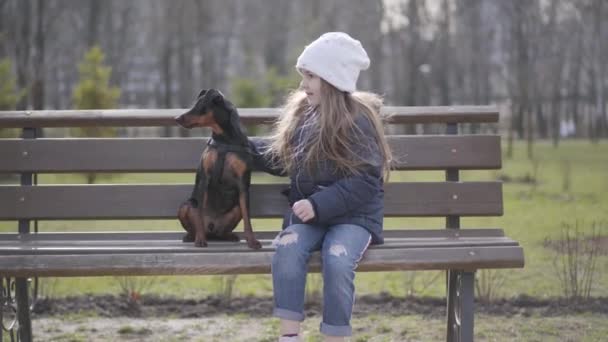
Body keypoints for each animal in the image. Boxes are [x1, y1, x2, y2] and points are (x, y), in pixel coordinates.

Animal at [176, 88, 262, 248]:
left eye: (200, 106)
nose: (176, 118)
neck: (225, 139)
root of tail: (211, 229)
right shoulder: (204, 178)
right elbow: (199, 214)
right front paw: (200, 239)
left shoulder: (243, 182)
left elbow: (247, 217)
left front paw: (252, 241)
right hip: (185, 206)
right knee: (195, 220)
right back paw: (192, 236)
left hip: (235, 209)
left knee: (224, 230)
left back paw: (229, 236)